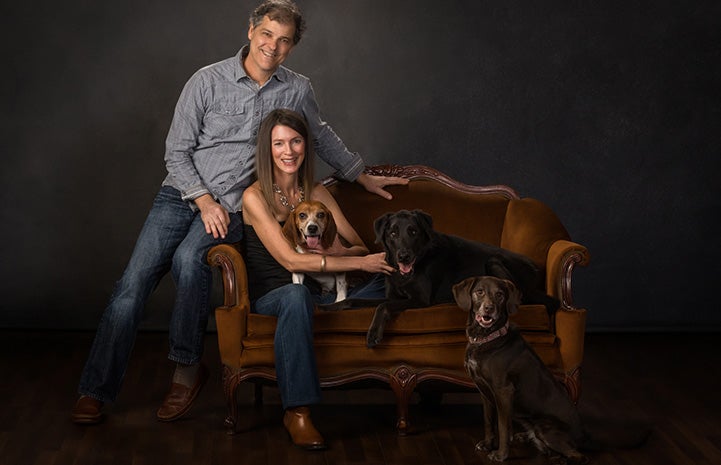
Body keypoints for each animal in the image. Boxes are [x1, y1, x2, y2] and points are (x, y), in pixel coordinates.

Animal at [366, 208, 556, 346]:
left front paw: (373, 333)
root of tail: (535, 269)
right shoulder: (392, 296)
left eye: (413, 232)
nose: (403, 256)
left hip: (494, 261)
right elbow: (368, 302)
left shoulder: (420, 300)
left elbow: (383, 306)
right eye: (393, 234)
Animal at [456, 278, 592, 462]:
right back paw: (526, 437)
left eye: (500, 295)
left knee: (577, 454)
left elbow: (503, 427)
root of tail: (583, 436)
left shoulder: (503, 391)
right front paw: (487, 444)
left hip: (545, 426)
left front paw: (500, 454)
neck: (486, 337)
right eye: (479, 292)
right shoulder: (484, 391)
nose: (489, 309)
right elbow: (489, 421)